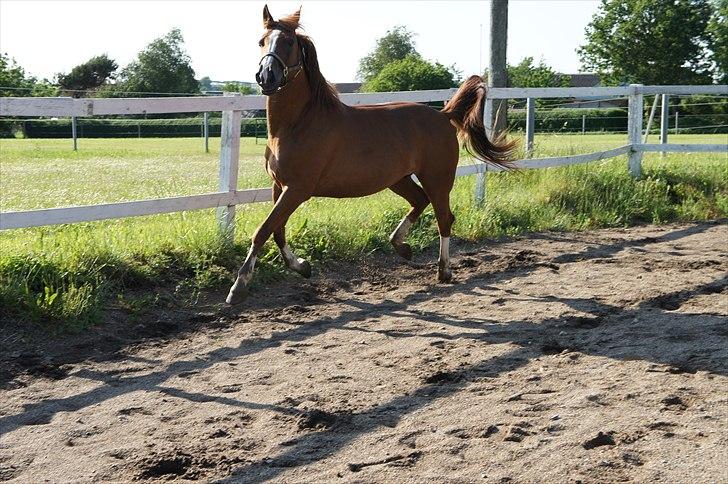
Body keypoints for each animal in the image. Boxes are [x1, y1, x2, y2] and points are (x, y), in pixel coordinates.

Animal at [225, 4, 516, 302]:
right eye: (261, 41)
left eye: (289, 42)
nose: (266, 76)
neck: (299, 123)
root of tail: (443, 115)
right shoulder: (278, 185)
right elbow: (277, 231)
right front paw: (302, 266)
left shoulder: (297, 189)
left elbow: (263, 230)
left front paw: (239, 286)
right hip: (398, 179)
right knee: (420, 201)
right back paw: (401, 246)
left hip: (438, 178)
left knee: (444, 218)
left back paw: (443, 270)